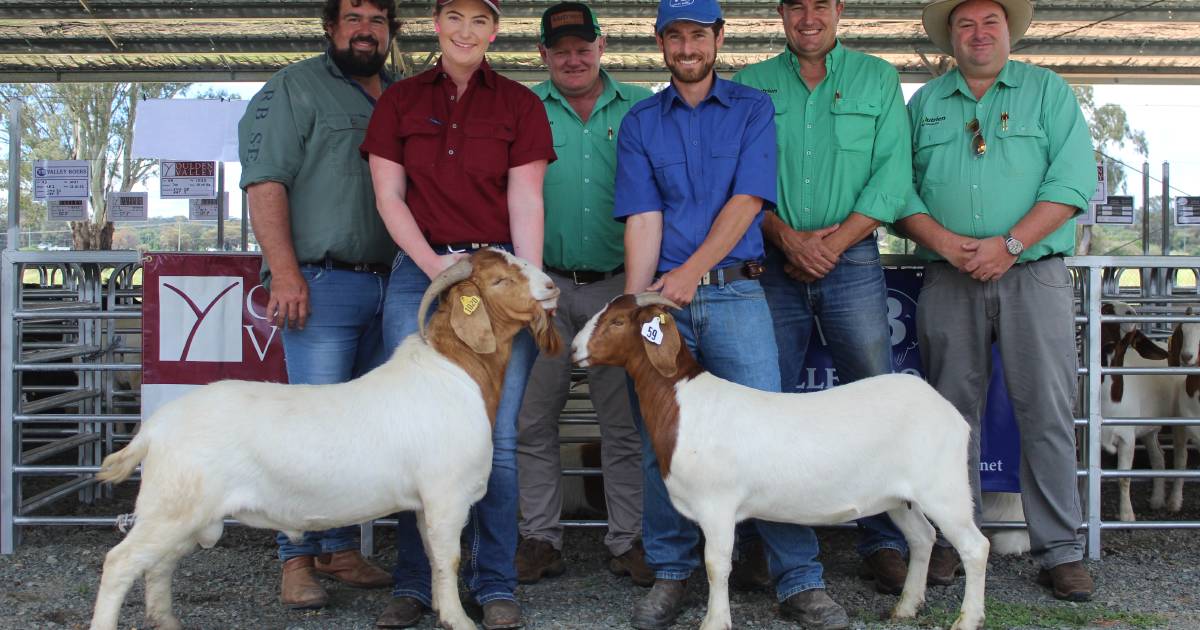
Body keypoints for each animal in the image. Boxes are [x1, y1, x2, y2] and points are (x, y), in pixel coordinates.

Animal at [87, 249, 564, 628]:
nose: (550, 286)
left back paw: (166, 621)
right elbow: (449, 559)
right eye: (500, 280)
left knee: (158, 567)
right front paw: (459, 620)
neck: (456, 372)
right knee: (120, 563)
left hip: (184, 515)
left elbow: (433, 557)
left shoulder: (425, 504)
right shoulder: (447, 497)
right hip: (173, 507)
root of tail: (155, 428)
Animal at [576, 292, 988, 628]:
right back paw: (905, 608)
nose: (576, 348)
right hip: (899, 497)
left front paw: (715, 621)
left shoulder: (717, 505)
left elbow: (715, 565)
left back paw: (967, 619)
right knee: (922, 538)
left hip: (944, 488)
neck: (685, 403)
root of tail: (949, 411)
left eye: (617, 322)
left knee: (974, 546)